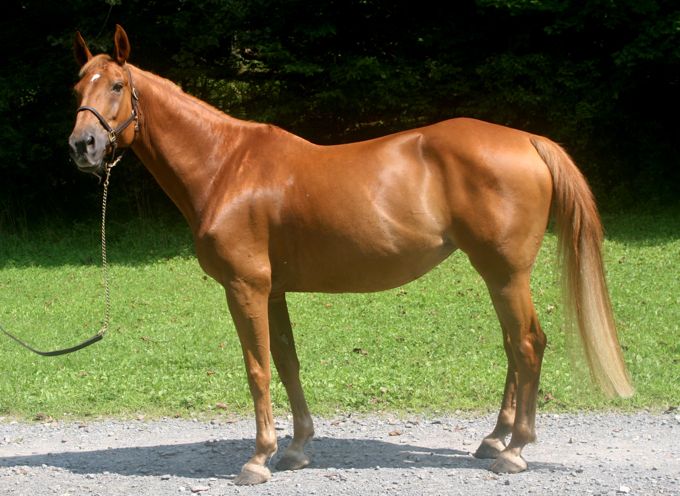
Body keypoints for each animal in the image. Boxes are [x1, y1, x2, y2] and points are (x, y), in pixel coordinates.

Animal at [68, 25, 633, 485]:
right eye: (77, 87)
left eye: (116, 86)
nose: (83, 145)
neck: (227, 166)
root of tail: (527, 139)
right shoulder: (273, 291)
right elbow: (287, 361)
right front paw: (296, 448)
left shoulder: (245, 287)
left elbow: (257, 368)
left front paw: (258, 458)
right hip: (499, 276)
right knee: (515, 348)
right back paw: (495, 439)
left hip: (506, 272)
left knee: (528, 345)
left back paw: (515, 450)